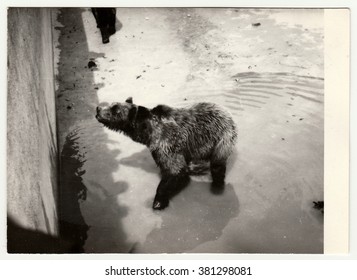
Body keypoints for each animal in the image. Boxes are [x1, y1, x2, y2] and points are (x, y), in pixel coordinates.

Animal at [96, 97, 238, 209]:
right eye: (111, 104)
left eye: (115, 109)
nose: (98, 108)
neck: (148, 133)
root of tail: (227, 111)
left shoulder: (166, 143)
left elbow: (176, 171)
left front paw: (158, 202)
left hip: (222, 137)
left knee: (218, 164)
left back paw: (217, 186)